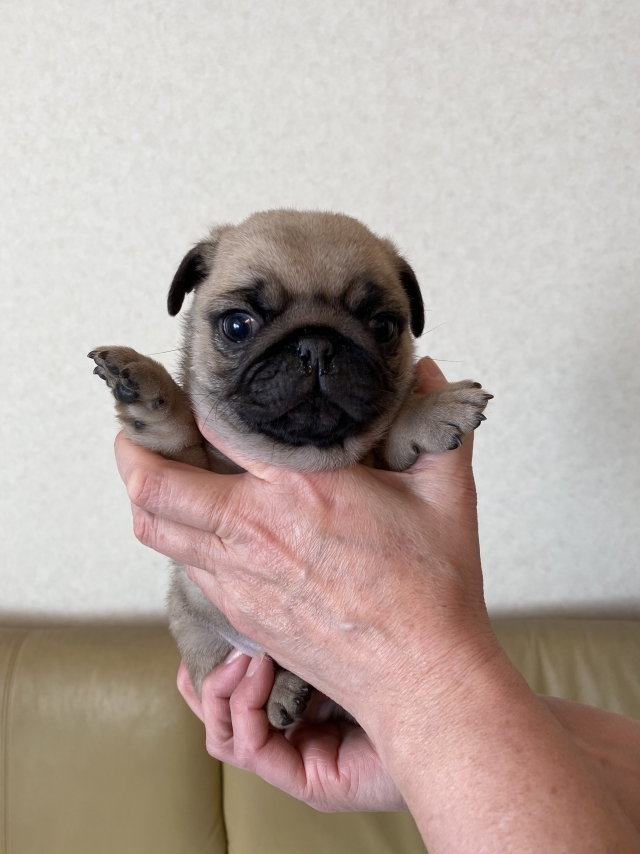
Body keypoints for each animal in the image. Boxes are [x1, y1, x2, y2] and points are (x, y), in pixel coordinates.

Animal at [89, 209, 491, 728]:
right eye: (238, 326)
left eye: (384, 326)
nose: (316, 345)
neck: (301, 456)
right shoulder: (194, 461)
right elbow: (178, 433)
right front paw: (145, 388)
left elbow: (397, 423)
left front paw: (435, 406)